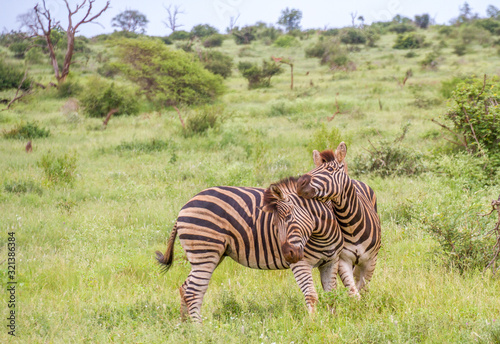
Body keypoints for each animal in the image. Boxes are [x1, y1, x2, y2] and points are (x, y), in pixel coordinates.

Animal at [156, 177, 344, 322]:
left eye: (288, 217)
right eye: (275, 223)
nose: (287, 255)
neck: (322, 231)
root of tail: (185, 206)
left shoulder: (331, 261)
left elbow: (332, 295)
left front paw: (333, 322)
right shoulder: (301, 264)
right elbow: (311, 295)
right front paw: (313, 325)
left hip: (211, 256)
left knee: (186, 287)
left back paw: (185, 325)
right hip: (205, 253)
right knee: (193, 292)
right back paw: (199, 330)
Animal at [294, 142, 380, 298]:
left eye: (329, 169)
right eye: (313, 168)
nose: (299, 184)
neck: (350, 223)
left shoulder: (371, 260)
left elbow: (362, 288)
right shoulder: (342, 260)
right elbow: (353, 291)